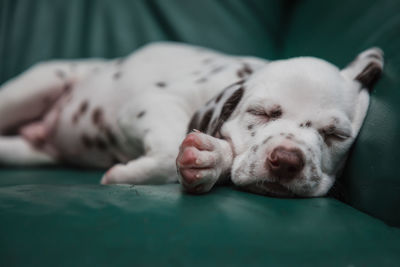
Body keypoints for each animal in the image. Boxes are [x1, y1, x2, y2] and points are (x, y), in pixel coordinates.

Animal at [0, 42, 382, 197]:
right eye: (260, 113)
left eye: (335, 135)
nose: (287, 161)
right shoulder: (152, 102)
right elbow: (167, 149)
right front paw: (125, 174)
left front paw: (209, 161)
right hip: (36, 85)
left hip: (30, 152)